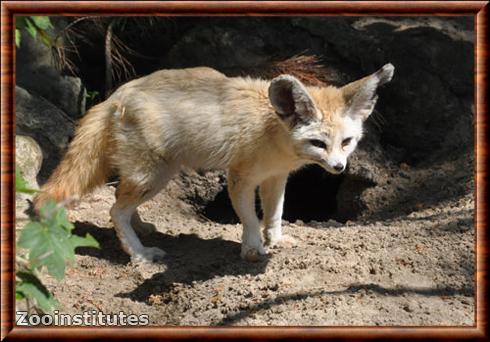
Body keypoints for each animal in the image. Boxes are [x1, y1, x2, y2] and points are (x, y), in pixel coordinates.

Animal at [34, 63, 394, 262]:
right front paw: (253, 249)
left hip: (155, 175)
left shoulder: (276, 178)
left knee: (118, 199)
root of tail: (116, 95)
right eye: (318, 143)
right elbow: (250, 219)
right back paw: (139, 254)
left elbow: (274, 215)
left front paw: (276, 240)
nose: (338, 168)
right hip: (155, 175)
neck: (272, 133)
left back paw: (141, 227)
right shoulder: (240, 179)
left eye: (346, 142)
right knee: (114, 210)